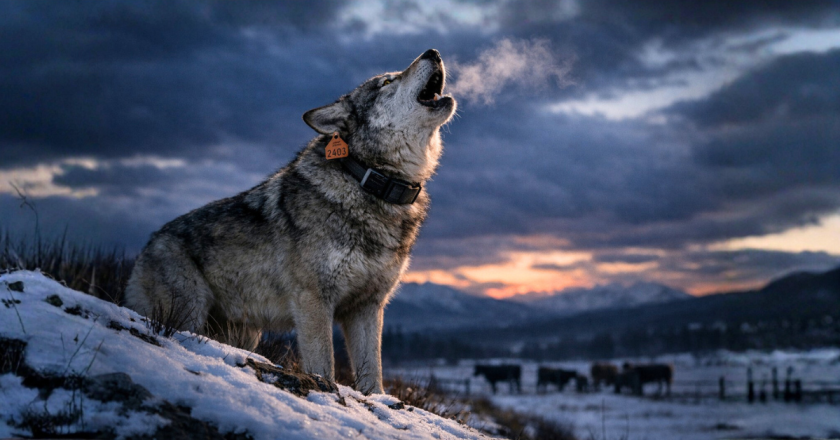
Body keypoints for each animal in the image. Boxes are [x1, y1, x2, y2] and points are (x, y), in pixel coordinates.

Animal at [124, 49, 456, 394]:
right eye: (387, 81)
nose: (433, 52)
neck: (369, 181)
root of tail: (148, 245)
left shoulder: (367, 307)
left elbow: (372, 373)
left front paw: (377, 400)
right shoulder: (313, 300)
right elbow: (324, 365)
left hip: (244, 333)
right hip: (189, 311)